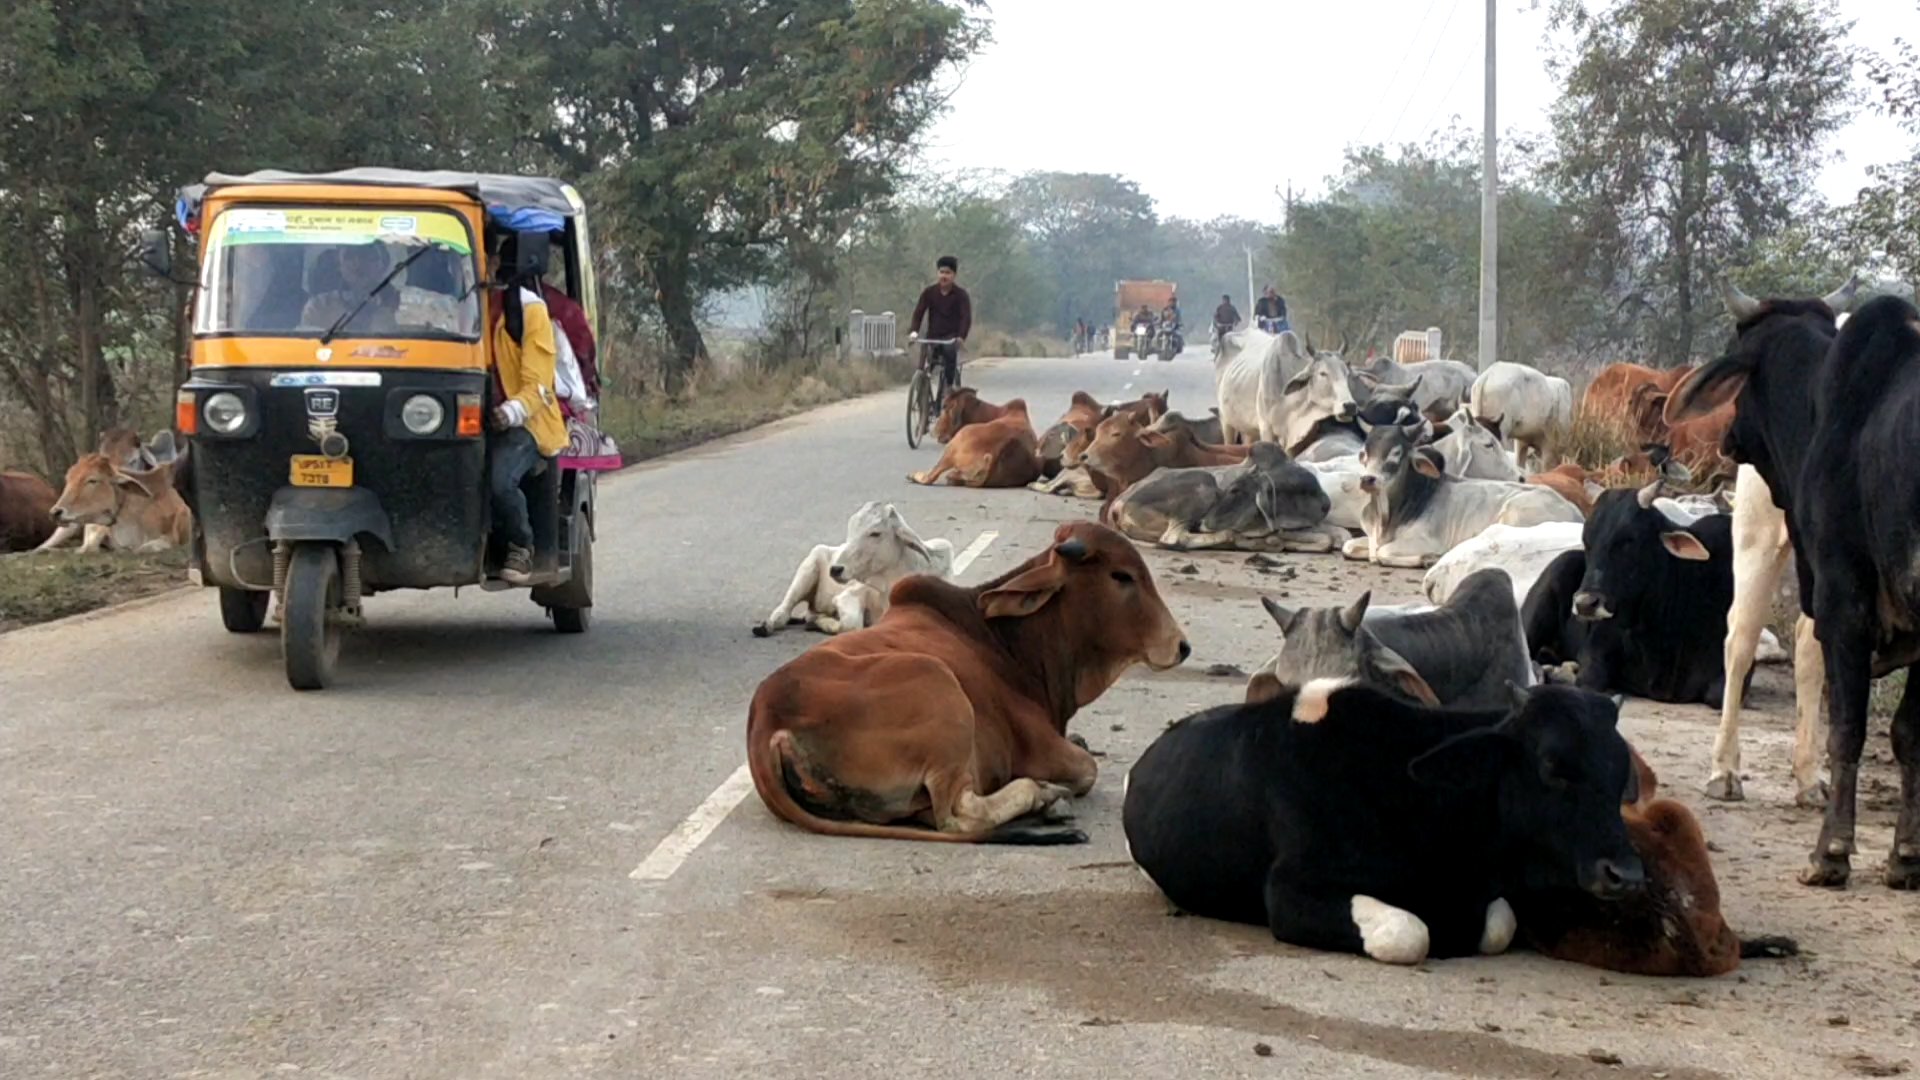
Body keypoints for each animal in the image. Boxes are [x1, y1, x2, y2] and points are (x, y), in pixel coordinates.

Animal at [744, 522, 1182, 841]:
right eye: (1121, 576)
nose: (1181, 645)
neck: (1008, 643)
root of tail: (768, 726)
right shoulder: (1045, 749)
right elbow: (1088, 769)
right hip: (937, 684)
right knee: (958, 814)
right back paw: (1044, 796)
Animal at [752, 499, 956, 634]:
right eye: (851, 529)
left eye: (875, 533)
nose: (835, 569)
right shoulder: (847, 596)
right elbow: (851, 625)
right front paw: (829, 624)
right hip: (808, 569)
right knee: (783, 613)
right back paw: (766, 626)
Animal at [1121, 676, 1651, 960]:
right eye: (1551, 767)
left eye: (1620, 775)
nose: (1625, 873)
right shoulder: (1291, 891)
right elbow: (1409, 933)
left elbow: (1499, 923)